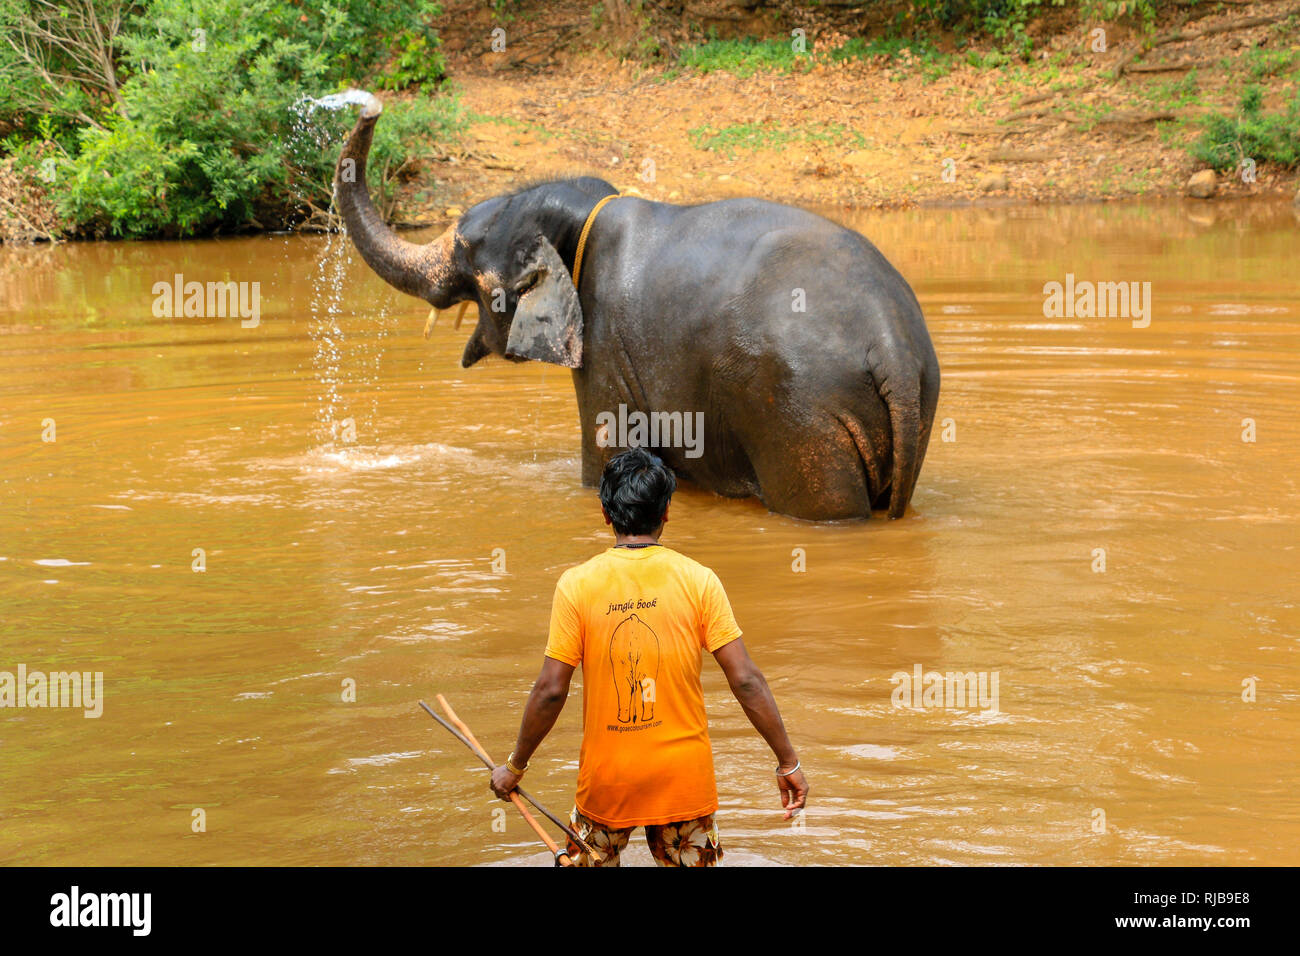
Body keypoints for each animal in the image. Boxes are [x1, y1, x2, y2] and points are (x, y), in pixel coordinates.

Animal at [332, 93, 946, 520]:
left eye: (468, 256)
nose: (368, 104)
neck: (585, 212)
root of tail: (891, 343)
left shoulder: (607, 351)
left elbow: (605, 456)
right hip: (910, 406)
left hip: (801, 417)